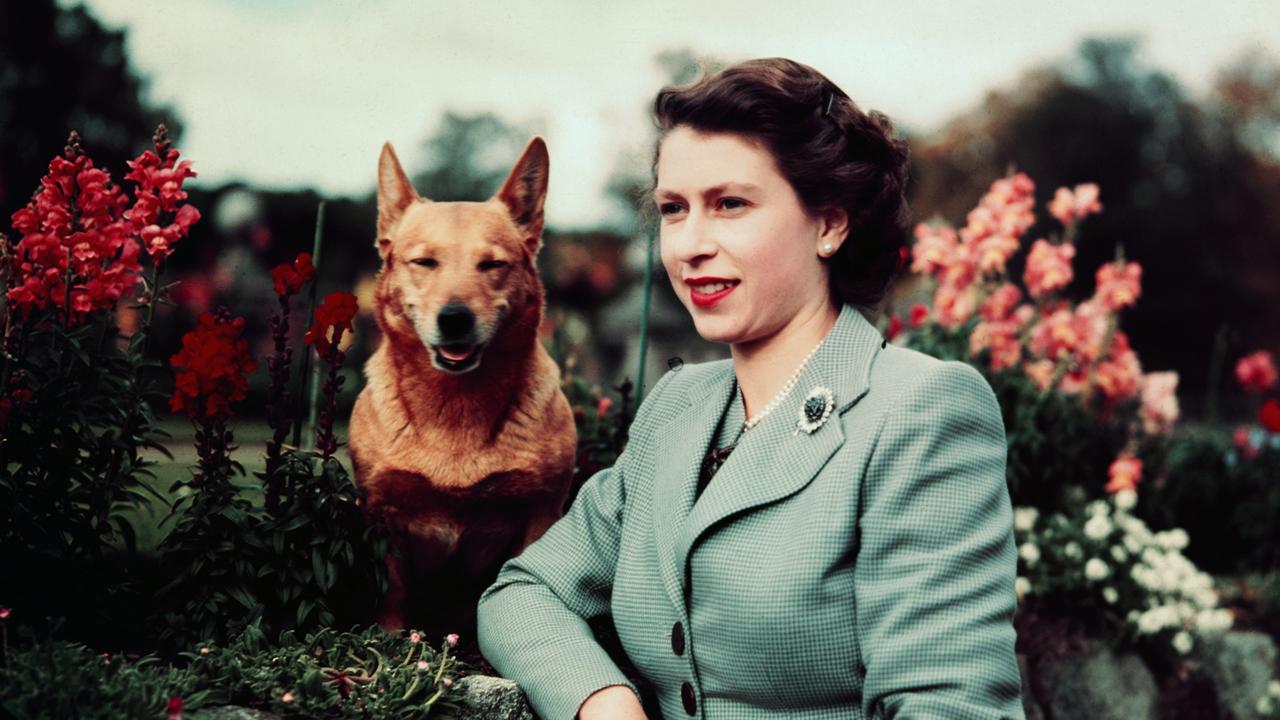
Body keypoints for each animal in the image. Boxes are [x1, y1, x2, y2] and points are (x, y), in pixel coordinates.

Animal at [345, 137, 576, 635]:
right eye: (424, 262)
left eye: (492, 264)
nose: (454, 319)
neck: (456, 406)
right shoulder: (383, 513)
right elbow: (393, 592)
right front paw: (390, 642)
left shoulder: (541, 513)